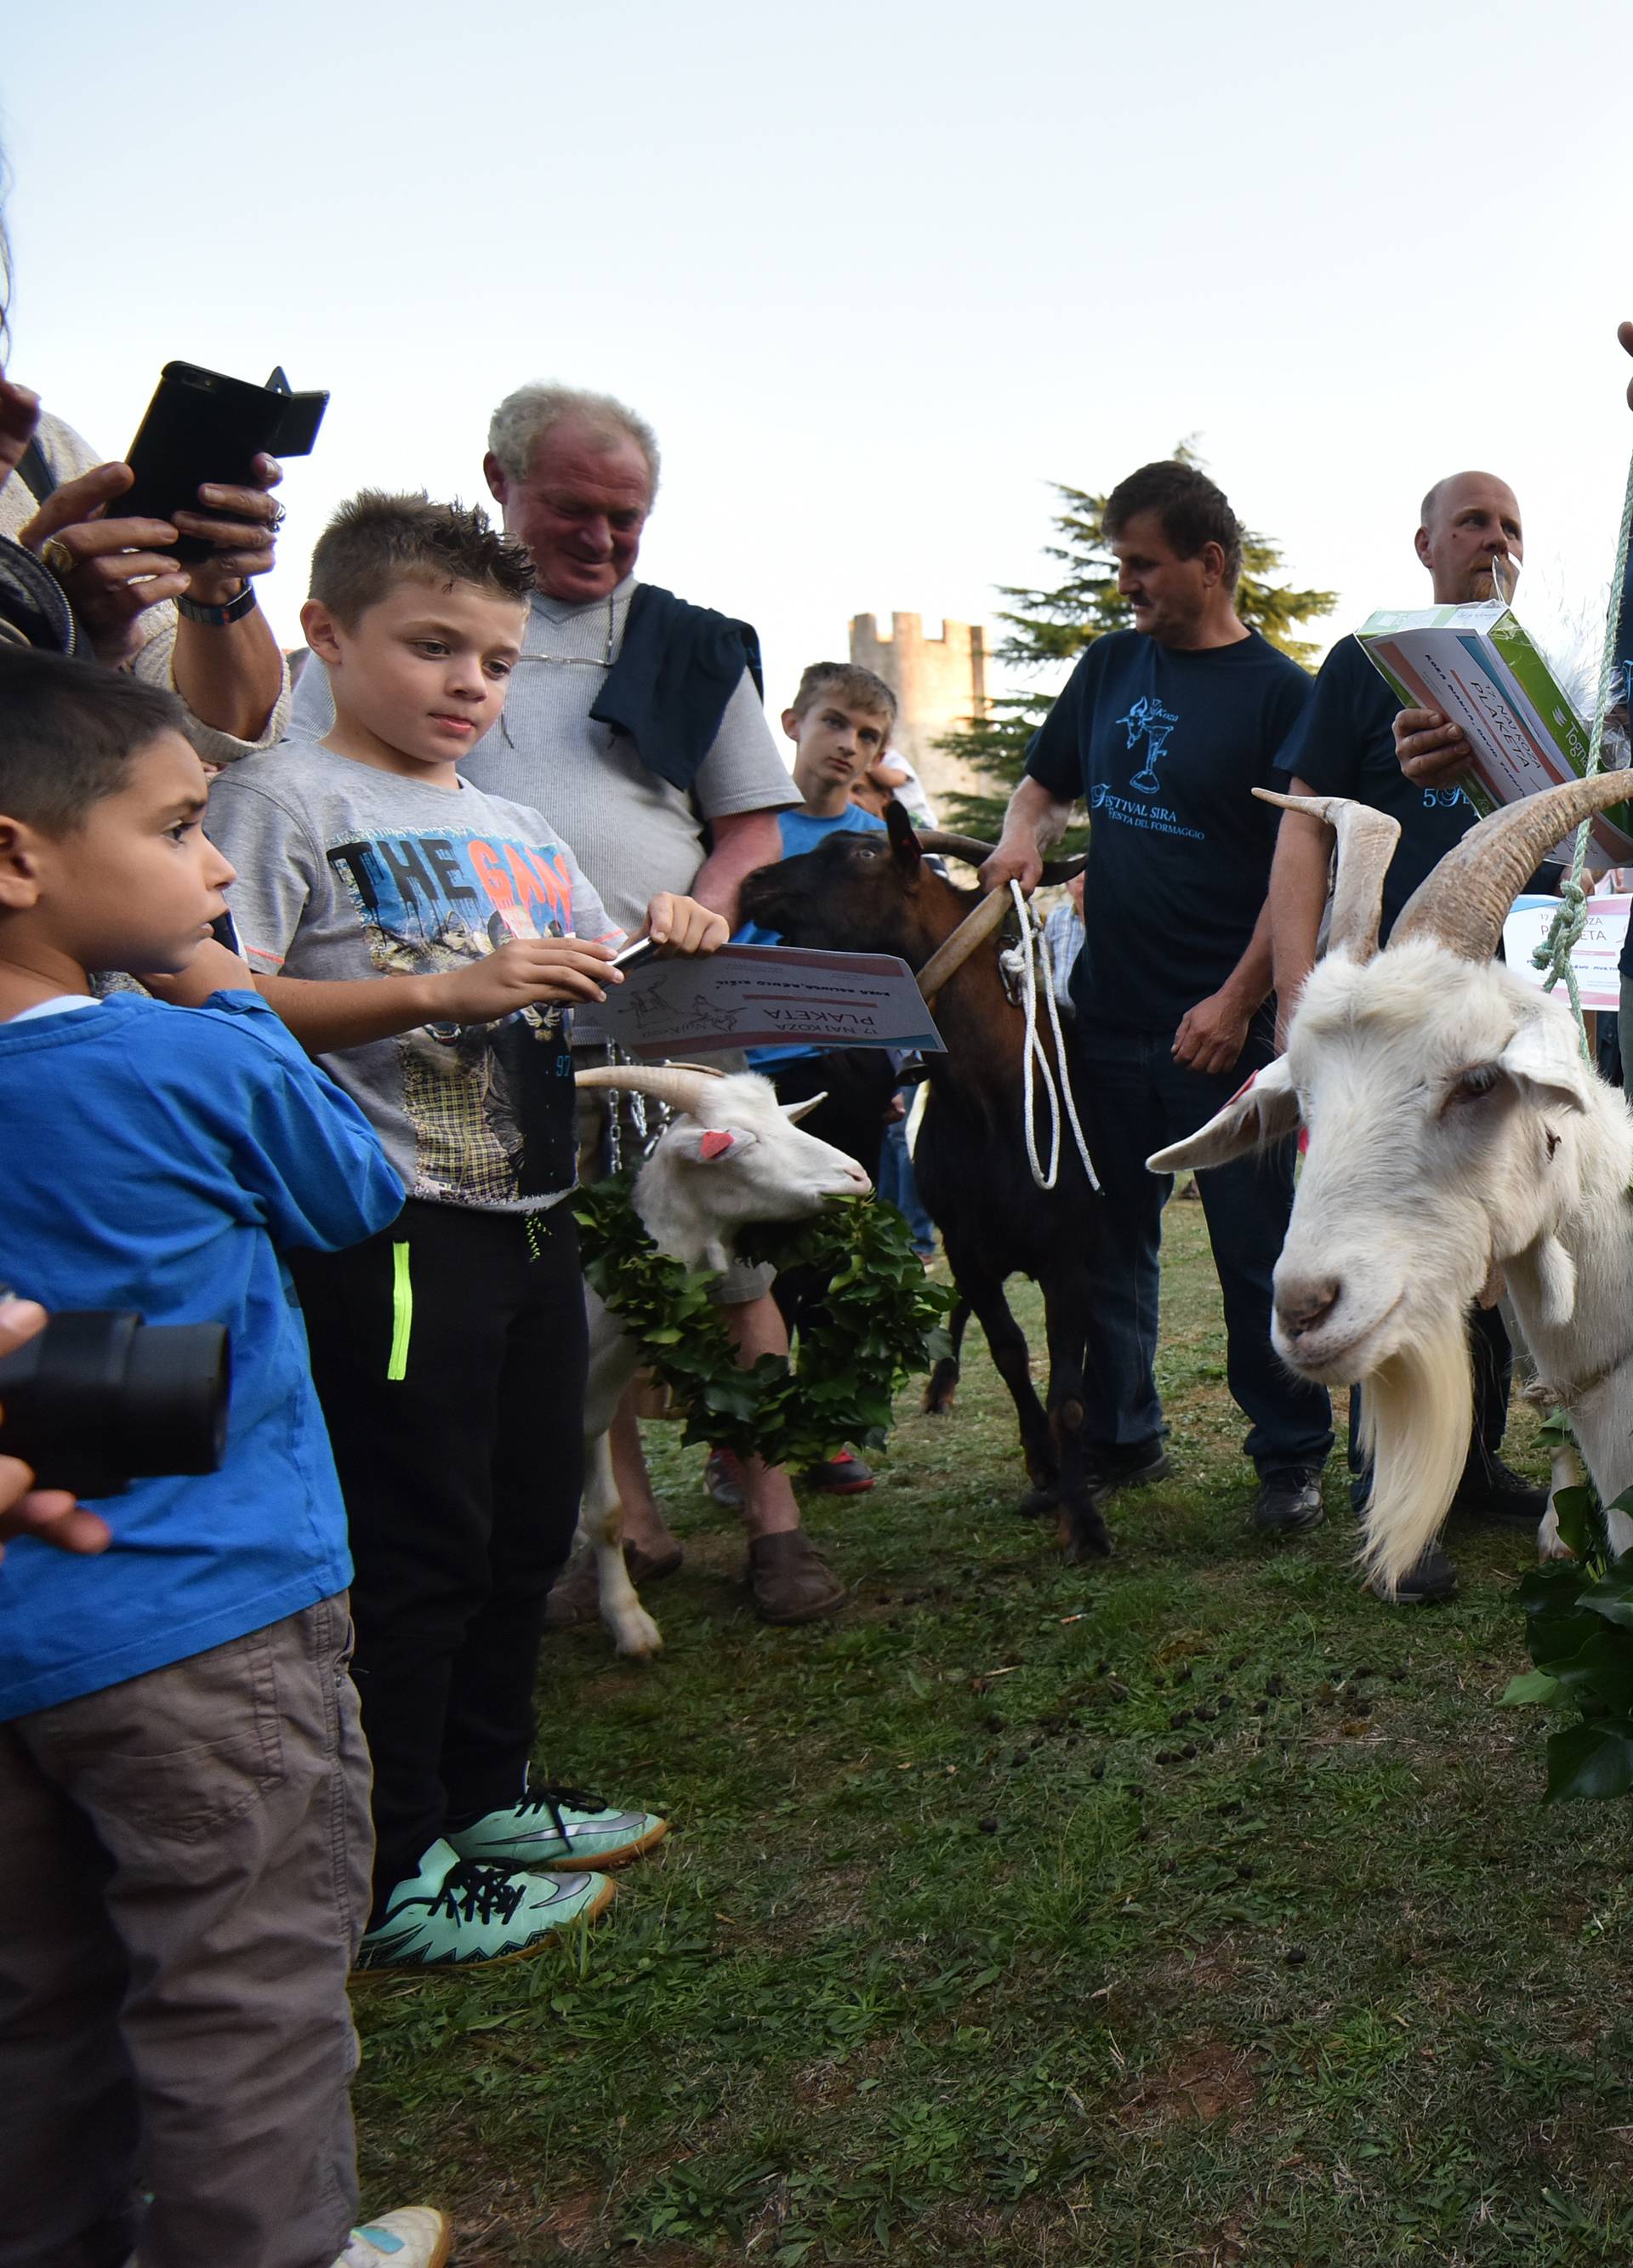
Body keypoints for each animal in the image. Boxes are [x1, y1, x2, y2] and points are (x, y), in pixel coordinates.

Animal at [572, 1052, 875, 1660]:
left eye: (784, 1120)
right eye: (741, 1140)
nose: (859, 1177)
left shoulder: (591, 1409)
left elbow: (606, 1516)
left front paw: (631, 1626)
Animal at [739, 798, 1111, 1560]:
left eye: (862, 854)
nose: (752, 881)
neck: (998, 1098)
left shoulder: (1069, 1255)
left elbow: (1070, 1395)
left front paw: (1083, 1521)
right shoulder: (965, 1245)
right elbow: (1010, 1356)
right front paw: (1043, 1469)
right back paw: (941, 1389)